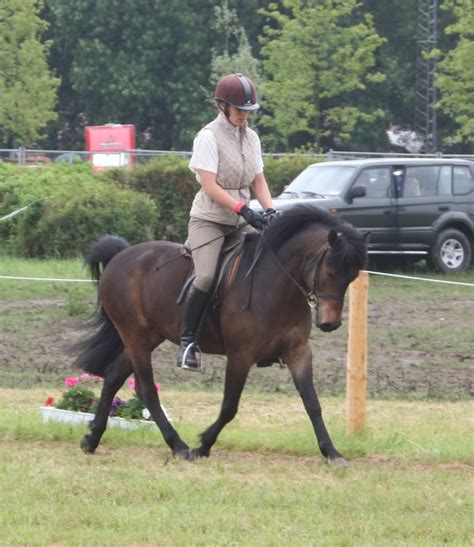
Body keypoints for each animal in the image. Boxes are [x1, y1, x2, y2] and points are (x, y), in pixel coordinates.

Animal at [75, 203, 366, 464]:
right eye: (330, 271)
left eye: (352, 277)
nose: (330, 324)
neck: (276, 284)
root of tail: (121, 256)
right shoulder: (240, 356)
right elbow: (229, 407)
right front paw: (202, 446)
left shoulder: (298, 352)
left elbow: (312, 403)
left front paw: (332, 453)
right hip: (135, 336)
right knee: (147, 390)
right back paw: (179, 446)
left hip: (147, 337)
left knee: (114, 376)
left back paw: (92, 439)